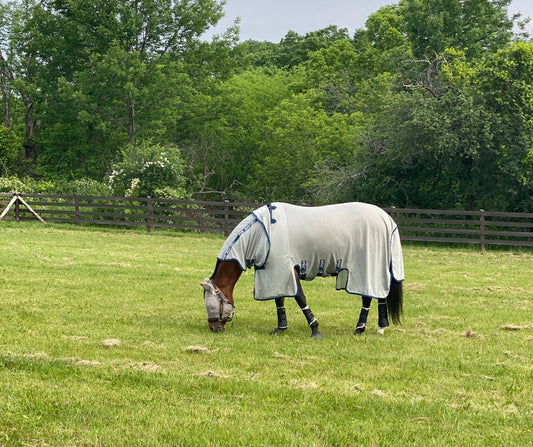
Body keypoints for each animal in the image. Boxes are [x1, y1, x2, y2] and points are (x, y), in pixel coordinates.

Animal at [201, 201, 404, 338]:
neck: (261, 233)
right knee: (380, 295)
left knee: (368, 296)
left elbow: (299, 298)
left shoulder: (287, 270)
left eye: (210, 304)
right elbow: (279, 299)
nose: (214, 328)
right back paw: (380, 327)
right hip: (376, 268)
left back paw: (360, 328)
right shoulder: (276, 273)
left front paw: (315, 329)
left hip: (365, 268)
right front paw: (281, 328)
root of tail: (385, 218)